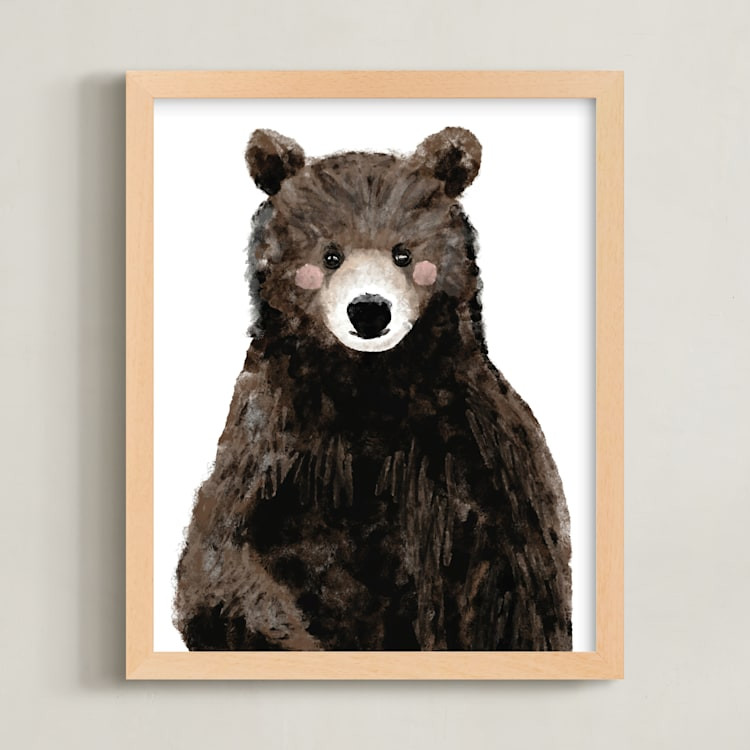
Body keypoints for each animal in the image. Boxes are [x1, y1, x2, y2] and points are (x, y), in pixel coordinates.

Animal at [173, 127, 572, 651]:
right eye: (329, 254)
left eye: (404, 253)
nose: (368, 310)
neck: (370, 387)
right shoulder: (272, 438)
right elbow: (221, 565)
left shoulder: (477, 450)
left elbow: (515, 588)